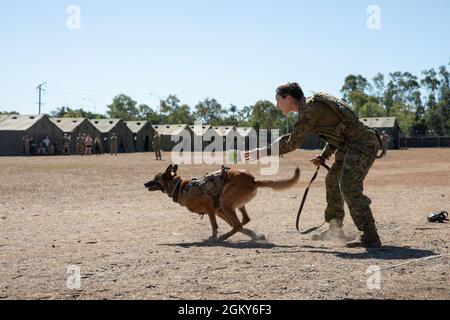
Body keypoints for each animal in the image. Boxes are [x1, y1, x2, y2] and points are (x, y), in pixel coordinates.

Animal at [146, 165, 300, 242]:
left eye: (155, 178)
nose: (145, 183)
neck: (180, 187)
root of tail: (253, 180)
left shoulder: (209, 203)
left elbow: (214, 224)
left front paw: (214, 236)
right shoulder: (218, 210)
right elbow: (233, 224)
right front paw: (254, 235)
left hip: (225, 202)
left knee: (238, 224)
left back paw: (223, 237)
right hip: (231, 205)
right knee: (243, 221)